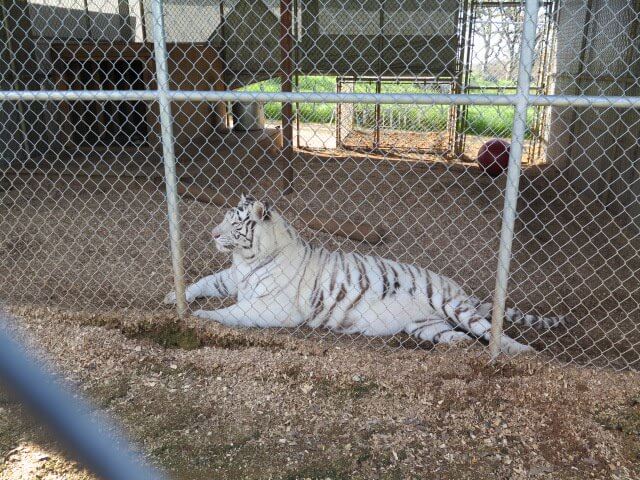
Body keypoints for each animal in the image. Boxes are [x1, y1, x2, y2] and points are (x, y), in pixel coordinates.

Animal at [165, 196, 564, 356]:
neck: (249, 261)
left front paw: (203, 315)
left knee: (488, 329)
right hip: (424, 325)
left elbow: (235, 312)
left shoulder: (275, 306)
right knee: (454, 335)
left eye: (235, 223)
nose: (213, 234)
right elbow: (206, 281)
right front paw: (176, 295)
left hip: (452, 305)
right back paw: (459, 346)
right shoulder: (234, 277)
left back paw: (519, 350)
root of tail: (459, 288)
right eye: (223, 219)